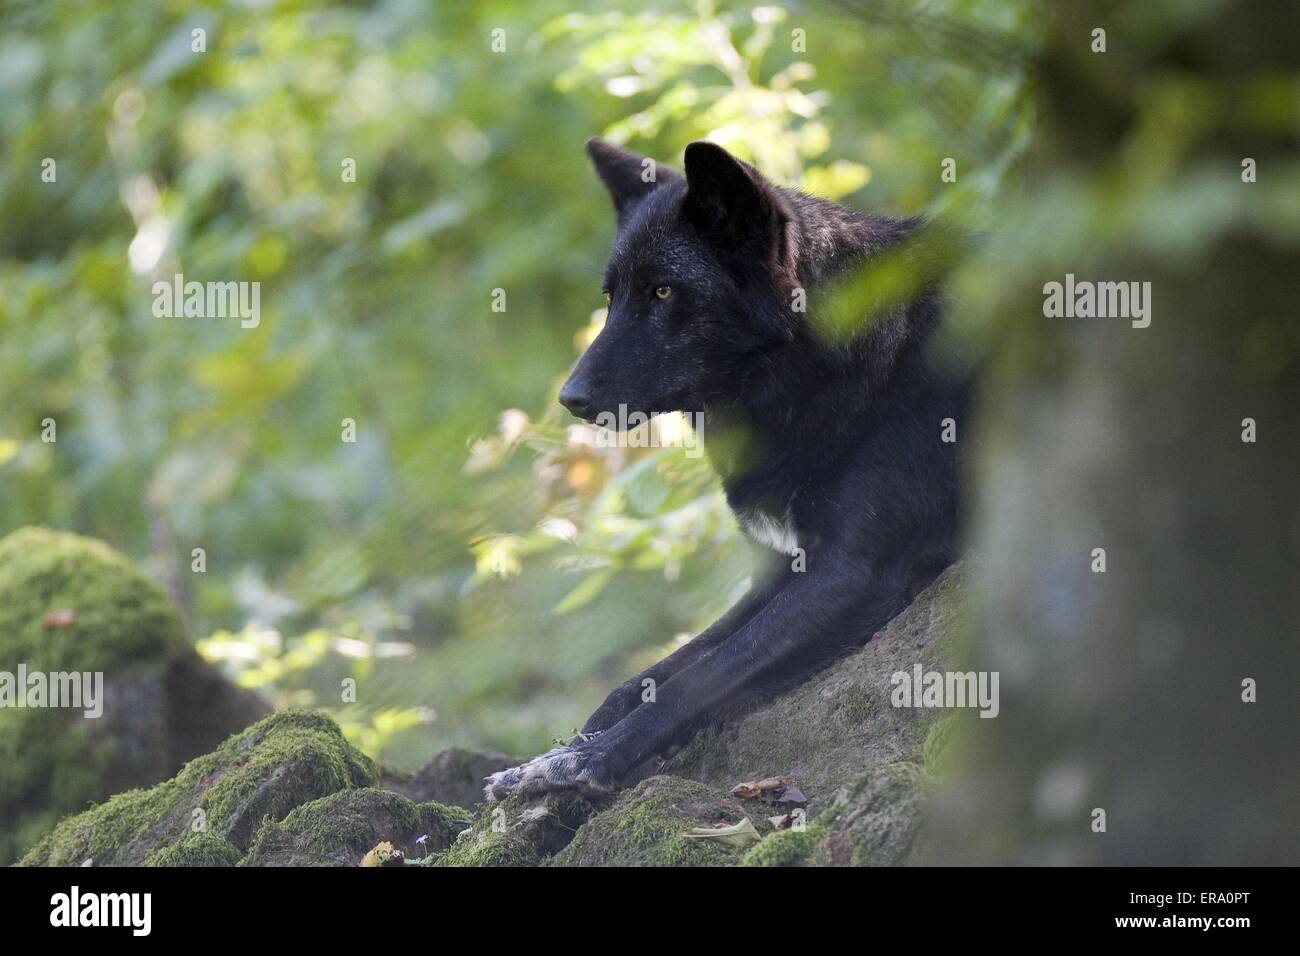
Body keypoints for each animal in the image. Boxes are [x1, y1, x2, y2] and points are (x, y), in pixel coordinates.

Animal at [486, 138, 967, 806]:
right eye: (611, 297)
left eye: (663, 293)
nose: (569, 398)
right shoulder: (788, 567)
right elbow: (648, 676)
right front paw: (556, 753)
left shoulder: (851, 574)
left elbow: (698, 679)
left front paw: (581, 764)